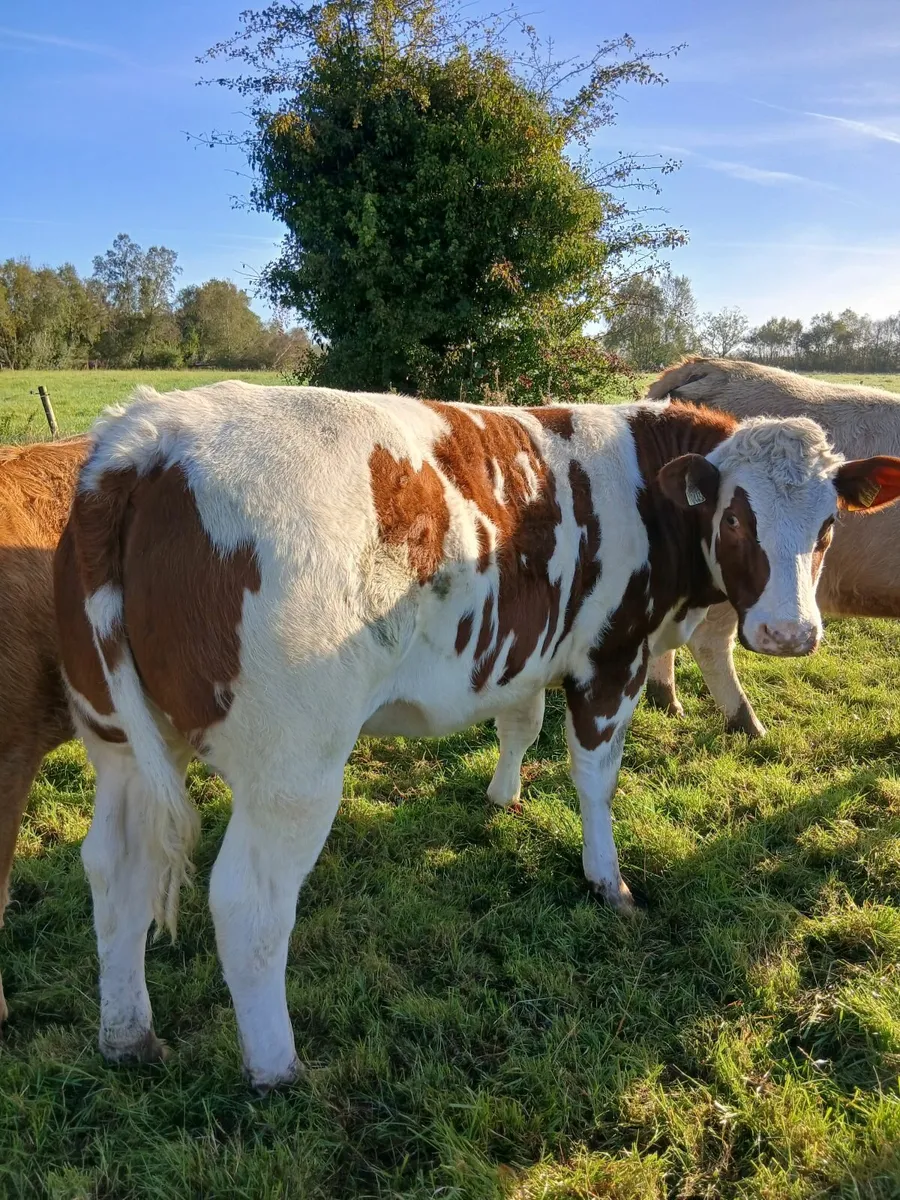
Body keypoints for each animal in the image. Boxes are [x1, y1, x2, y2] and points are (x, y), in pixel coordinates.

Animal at [643, 357, 900, 735]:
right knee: (709, 642)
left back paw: (665, 698)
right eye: (732, 520)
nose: (792, 636)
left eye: (830, 521)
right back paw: (747, 723)